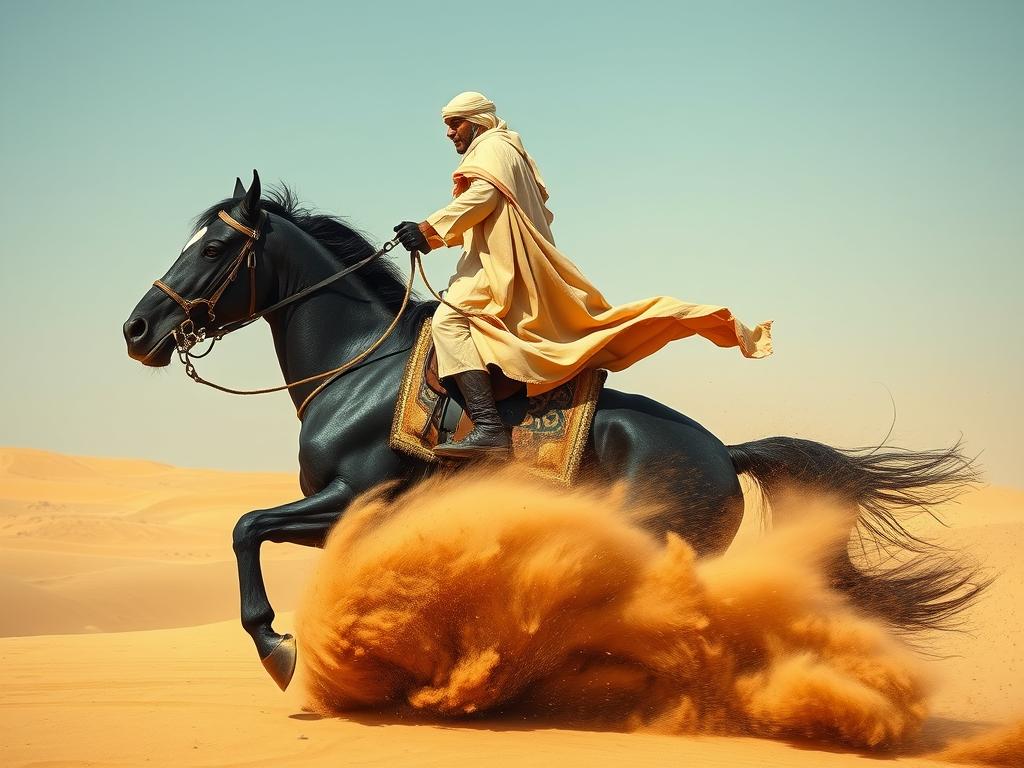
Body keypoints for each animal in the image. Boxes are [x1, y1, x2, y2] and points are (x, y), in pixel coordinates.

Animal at [119, 173, 983, 692]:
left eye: (216, 246)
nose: (138, 329)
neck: (353, 365)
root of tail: (721, 451)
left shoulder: (352, 497)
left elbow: (244, 526)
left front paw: (277, 646)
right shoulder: (358, 519)